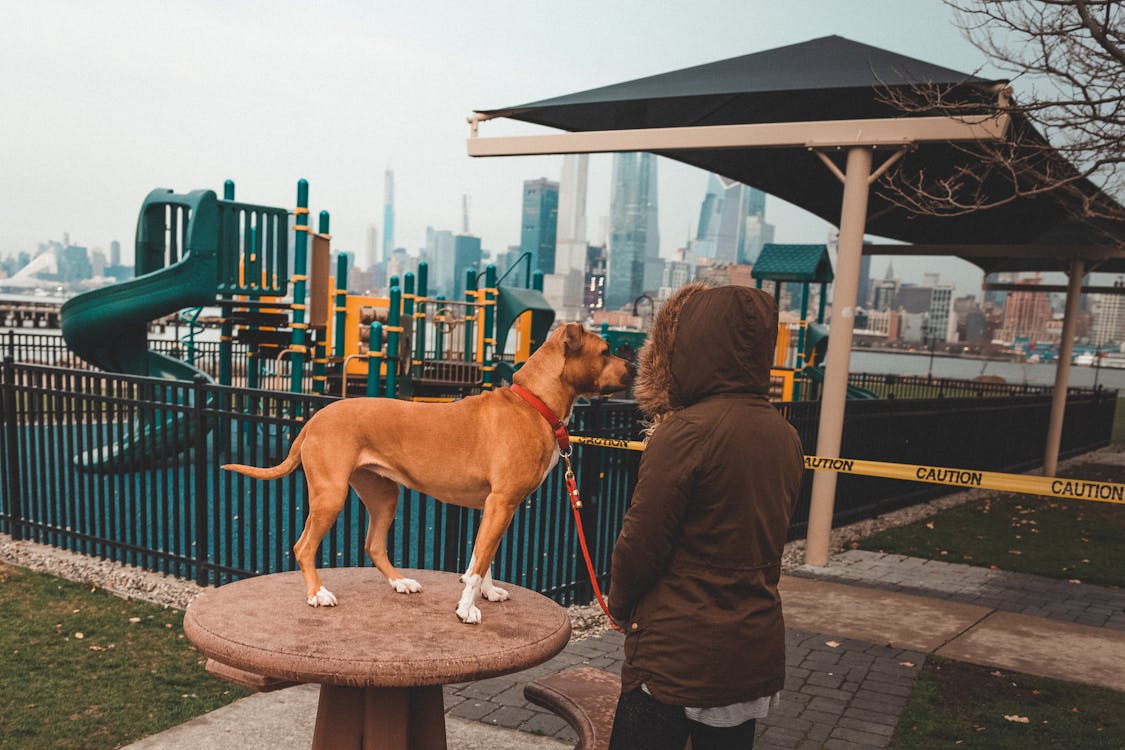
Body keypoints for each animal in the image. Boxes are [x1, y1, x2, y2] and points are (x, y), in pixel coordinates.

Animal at [217, 323, 634, 620]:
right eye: (605, 351)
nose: (633, 366)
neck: (535, 402)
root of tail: (315, 418)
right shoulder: (501, 503)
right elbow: (480, 561)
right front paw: (467, 608)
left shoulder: (498, 507)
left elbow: (484, 556)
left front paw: (484, 591)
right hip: (331, 495)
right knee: (304, 546)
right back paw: (318, 594)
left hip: (386, 495)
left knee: (374, 544)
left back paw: (400, 583)